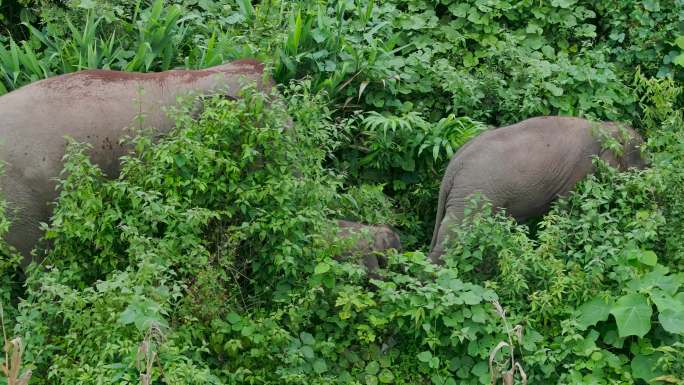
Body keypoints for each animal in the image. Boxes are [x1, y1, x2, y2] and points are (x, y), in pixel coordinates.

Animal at [428, 115, 648, 264]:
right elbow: (565, 211)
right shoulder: (578, 171)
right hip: (471, 195)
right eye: (644, 163)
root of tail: (454, 165)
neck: (604, 127)